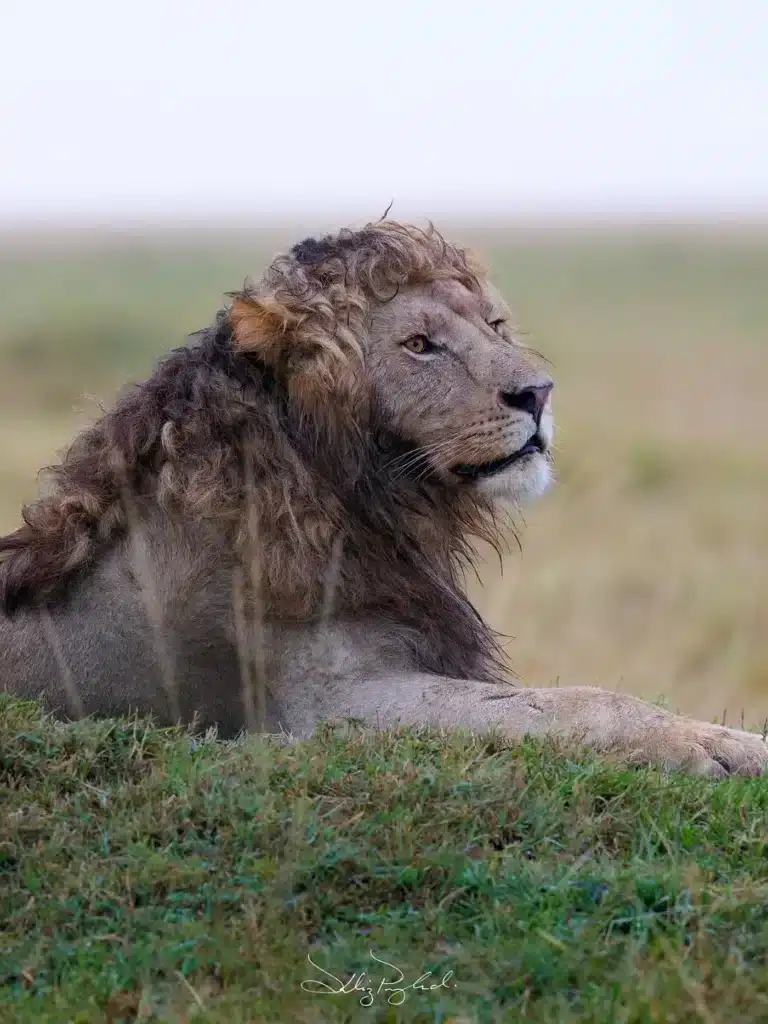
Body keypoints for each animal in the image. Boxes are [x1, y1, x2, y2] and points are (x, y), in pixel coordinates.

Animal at [0, 220, 765, 777]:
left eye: (493, 326)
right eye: (420, 344)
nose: (539, 393)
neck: (363, 493)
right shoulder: (331, 707)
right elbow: (581, 703)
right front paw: (711, 748)